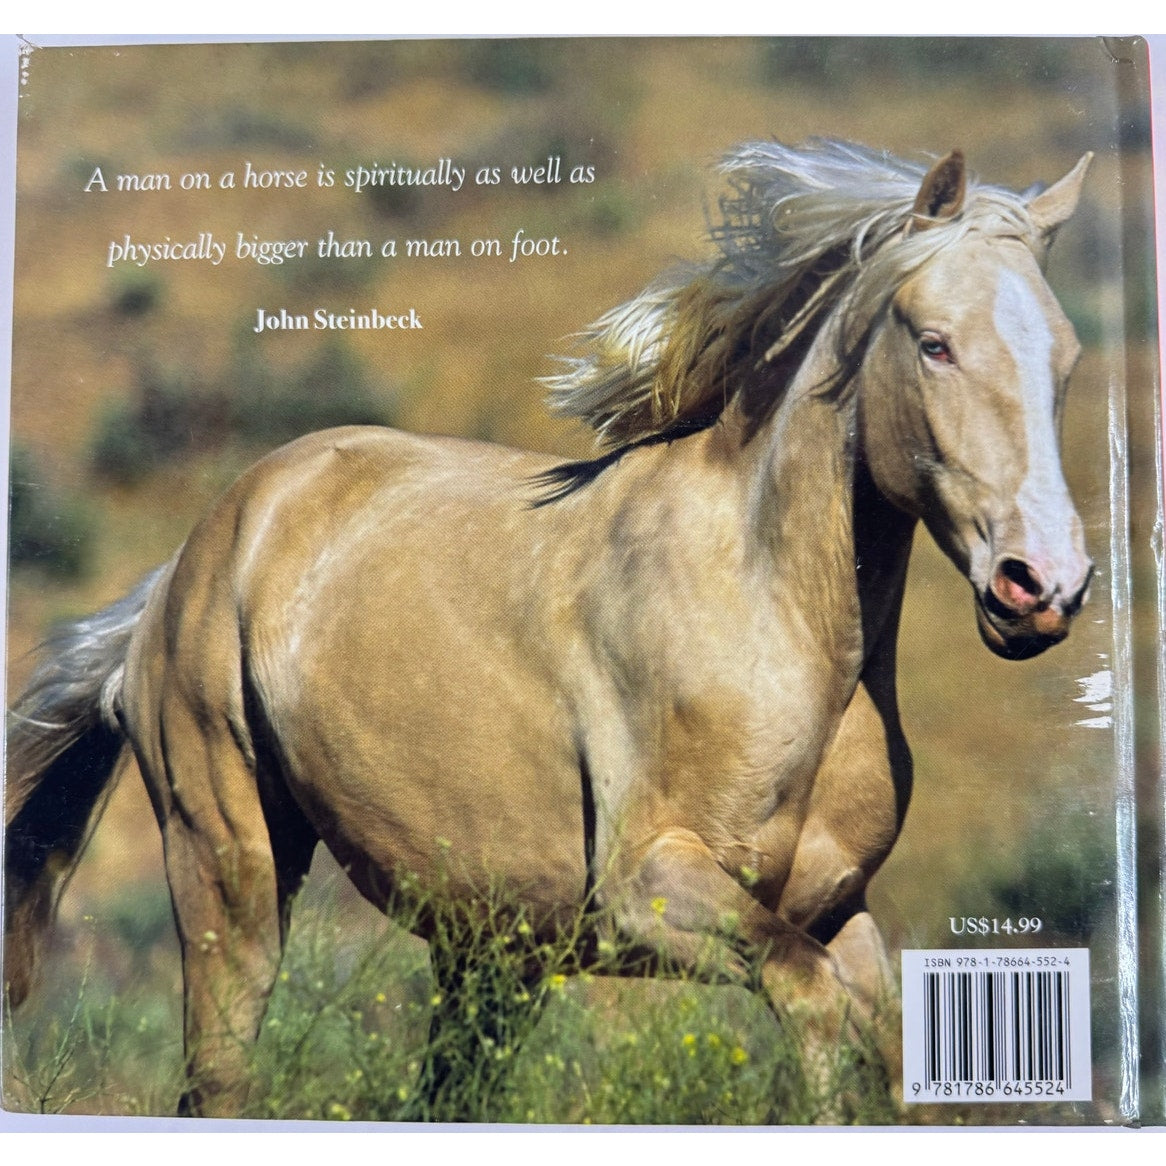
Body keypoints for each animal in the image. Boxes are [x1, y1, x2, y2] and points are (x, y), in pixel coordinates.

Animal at [4, 139, 1093, 1117]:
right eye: (934, 341)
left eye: (1067, 359)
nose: (1040, 583)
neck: (773, 624)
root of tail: (192, 558)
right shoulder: (653, 886)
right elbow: (815, 1012)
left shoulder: (838, 908)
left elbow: (885, 1048)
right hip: (231, 868)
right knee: (217, 1080)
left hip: (488, 949)